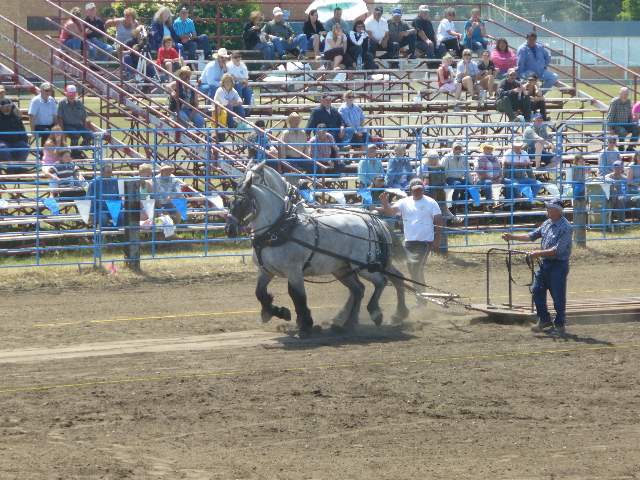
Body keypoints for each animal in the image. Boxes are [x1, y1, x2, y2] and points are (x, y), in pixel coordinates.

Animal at [222, 163, 408, 336]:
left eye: (242, 202)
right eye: (230, 202)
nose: (229, 229)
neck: (279, 227)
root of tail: (370, 219)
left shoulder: (294, 270)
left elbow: (297, 295)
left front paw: (305, 324)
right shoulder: (265, 270)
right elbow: (259, 293)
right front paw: (276, 312)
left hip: (364, 266)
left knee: (382, 281)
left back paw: (376, 313)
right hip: (342, 268)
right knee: (360, 289)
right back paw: (348, 322)